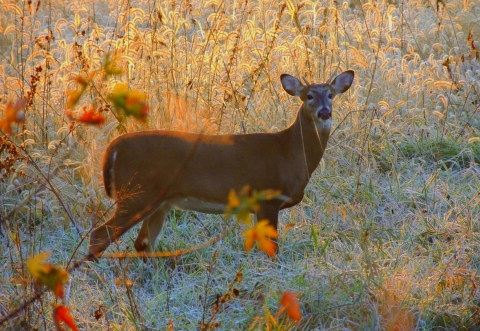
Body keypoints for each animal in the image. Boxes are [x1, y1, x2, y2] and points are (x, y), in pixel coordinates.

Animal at [89, 71, 352, 260]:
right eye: (308, 96)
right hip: (137, 192)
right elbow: (271, 249)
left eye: (331, 95)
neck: (289, 152)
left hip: (159, 201)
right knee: (100, 234)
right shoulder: (266, 197)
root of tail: (113, 147)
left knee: (143, 243)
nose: (324, 112)